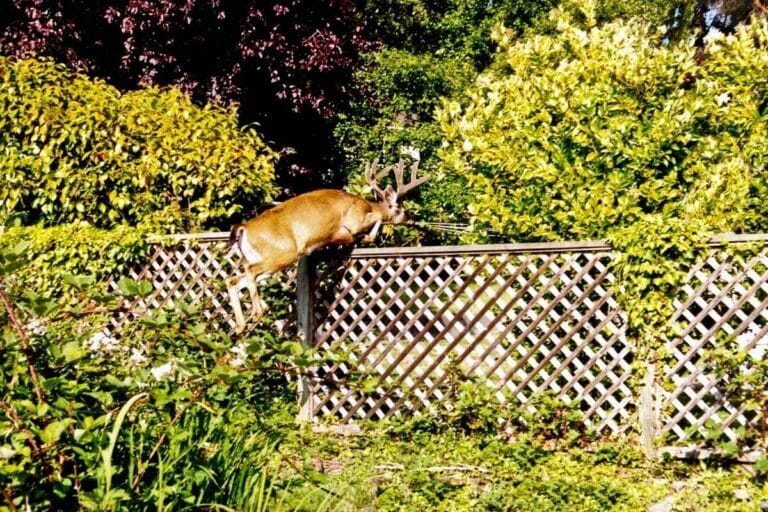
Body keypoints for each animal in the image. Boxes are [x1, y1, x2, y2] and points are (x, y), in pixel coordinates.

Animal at [227, 157, 430, 333]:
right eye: (402, 209)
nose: (413, 218)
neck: (366, 205)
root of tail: (244, 228)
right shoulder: (352, 224)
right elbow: (374, 222)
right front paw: (366, 238)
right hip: (283, 252)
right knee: (249, 270)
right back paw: (256, 314)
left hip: (269, 260)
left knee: (233, 280)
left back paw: (240, 326)